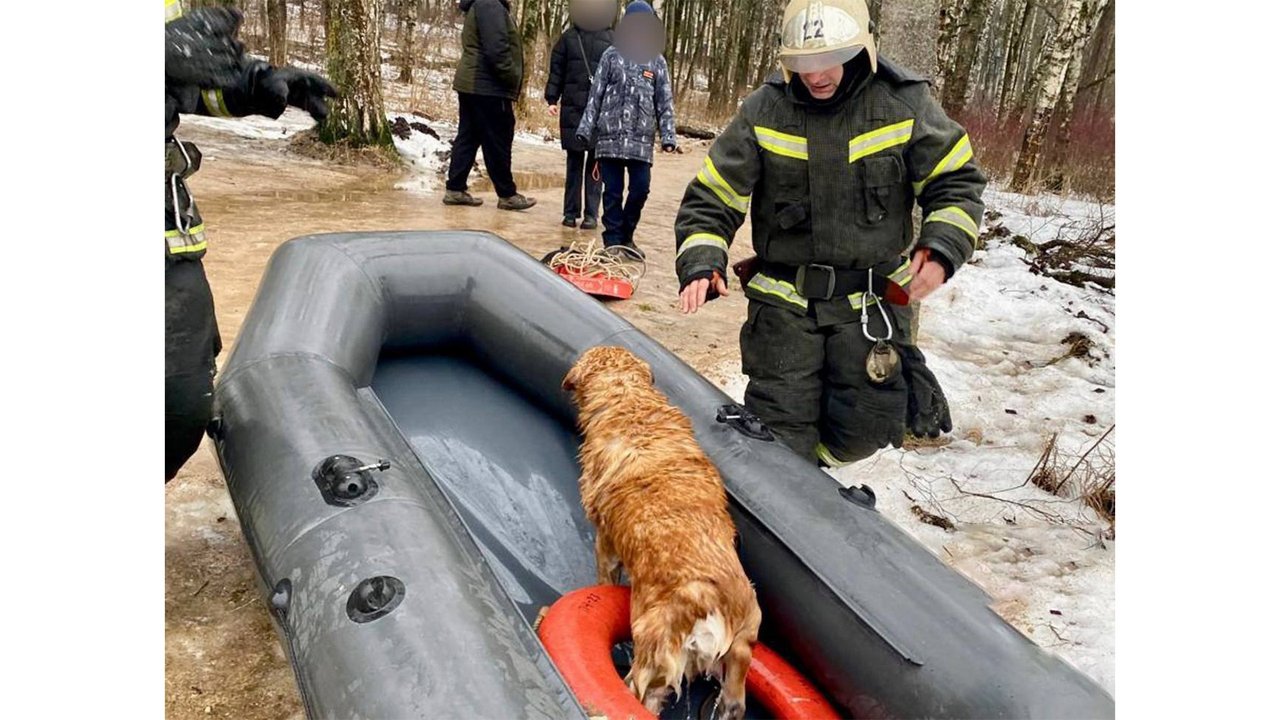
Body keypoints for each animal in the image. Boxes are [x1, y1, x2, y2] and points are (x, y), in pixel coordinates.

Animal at [563, 345, 757, 712]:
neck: (630, 400)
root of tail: (709, 606)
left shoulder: (605, 542)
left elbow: (605, 578)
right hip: (745, 638)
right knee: (735, 691)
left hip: (652, 656)